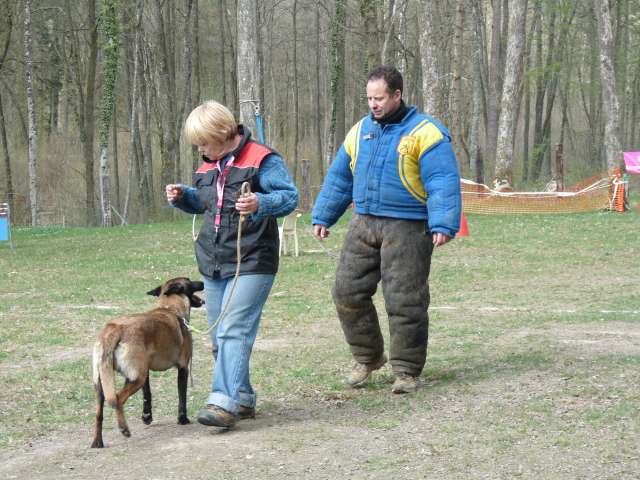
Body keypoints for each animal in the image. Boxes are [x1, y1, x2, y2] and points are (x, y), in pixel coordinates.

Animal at [90, 276, 204, 448]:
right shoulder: (183, 368)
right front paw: (183, 419)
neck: (170, 308)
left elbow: (147, 394)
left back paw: (97, 441)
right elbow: (182, 396)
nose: (203, 282)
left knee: (99, 413)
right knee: (118, 399)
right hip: (136, 379)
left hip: (103, 383)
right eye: (190, 281)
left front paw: (147, 417)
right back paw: (124, 429)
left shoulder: (146, 372)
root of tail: (114, 328)